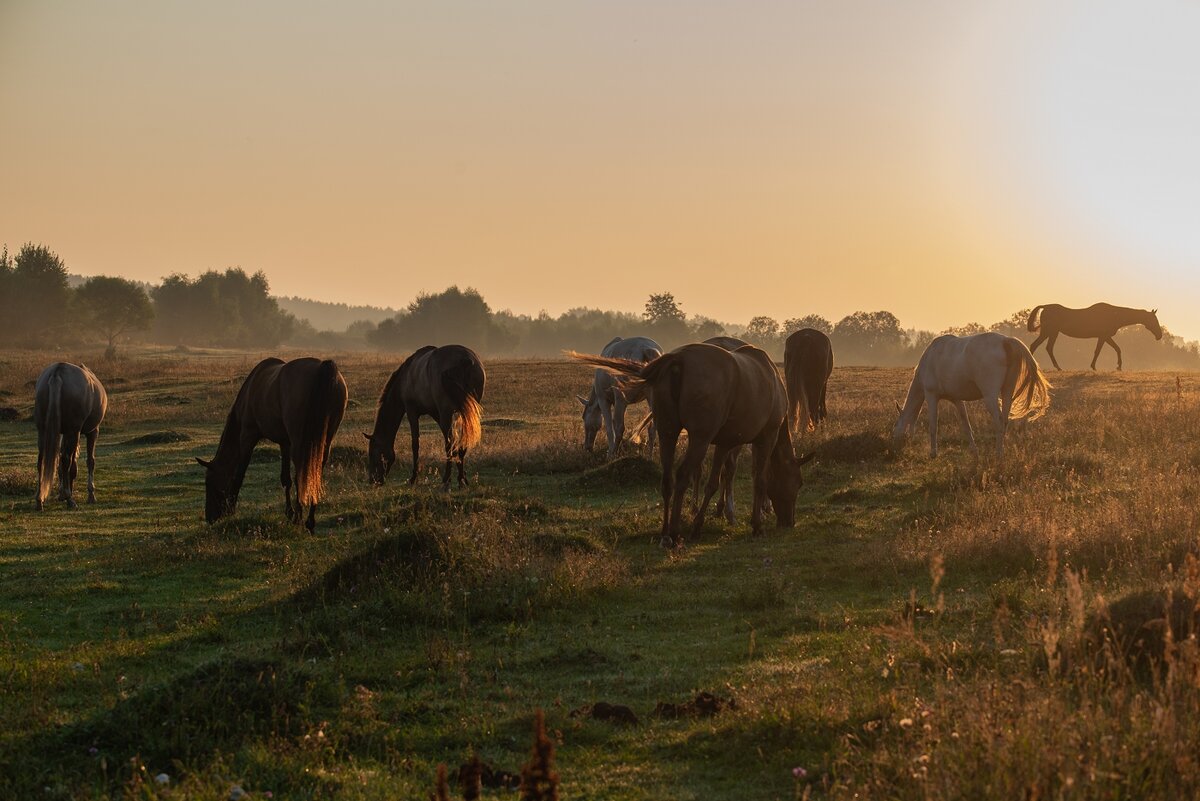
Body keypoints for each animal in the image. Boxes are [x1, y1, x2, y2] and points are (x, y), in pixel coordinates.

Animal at [195, 357, 348, 532]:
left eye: (209, 482)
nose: (210, 518)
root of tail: (323, 367)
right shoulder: (284, 442)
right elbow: (285, 479)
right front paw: (289, 512)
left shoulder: (248, 436)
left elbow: (239, 474)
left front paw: (231, 508)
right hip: (325, 441)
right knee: (314, 473)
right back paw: (309, 520)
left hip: (300, 442)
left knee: (302, 474)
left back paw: (300, 518)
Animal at [362, 345, 484, 489]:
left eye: (373, 453)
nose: (373, 480)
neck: (405, 377)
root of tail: (465, 359)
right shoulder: (437, 414)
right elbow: (455, 443)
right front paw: (463, 477)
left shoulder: (412, 412)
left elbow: (415, 444)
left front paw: (413, 478)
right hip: (465, 413)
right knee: (461, 443)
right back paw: (459, 479)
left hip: (447, 413)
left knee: (448, 444)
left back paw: (446, 480)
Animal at [568, 340, 811, 546]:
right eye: (798, 482)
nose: (789, 522)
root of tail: (677, 361)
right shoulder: (765, 438)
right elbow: (758, 479)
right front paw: (756, 525)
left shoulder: (725, 443)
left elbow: (715, 482)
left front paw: (708, 519)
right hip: (699, 438)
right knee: (683, 475)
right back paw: (675, 533)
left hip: (668, 432)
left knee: (668, 479)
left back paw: (666, 534)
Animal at [892, 330, 1051, 455]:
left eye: (896, 427)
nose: (895, 446)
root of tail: (1006, 341)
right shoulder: (957, 400)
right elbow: (966, 425)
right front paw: (974, 451)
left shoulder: (931, 395)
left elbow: (933, 425)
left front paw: (933, 453)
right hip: (1007, 392)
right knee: (1005, 420)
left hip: (990, 396)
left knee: (999, 421)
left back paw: (998, 455)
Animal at [1022, 303, 1161, 371]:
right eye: (1154, 320)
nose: (1159, 335)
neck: (1115, 315)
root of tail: (1045, 307)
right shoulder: (1103, 336)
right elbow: (1098, 351)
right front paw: (1094, 366)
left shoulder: (1105, 337)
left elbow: (1117, 349)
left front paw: (1118, 366)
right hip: (1049, 332)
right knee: (1038, 346)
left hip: (1051, 333)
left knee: (1046, 348)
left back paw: (1057, 367)